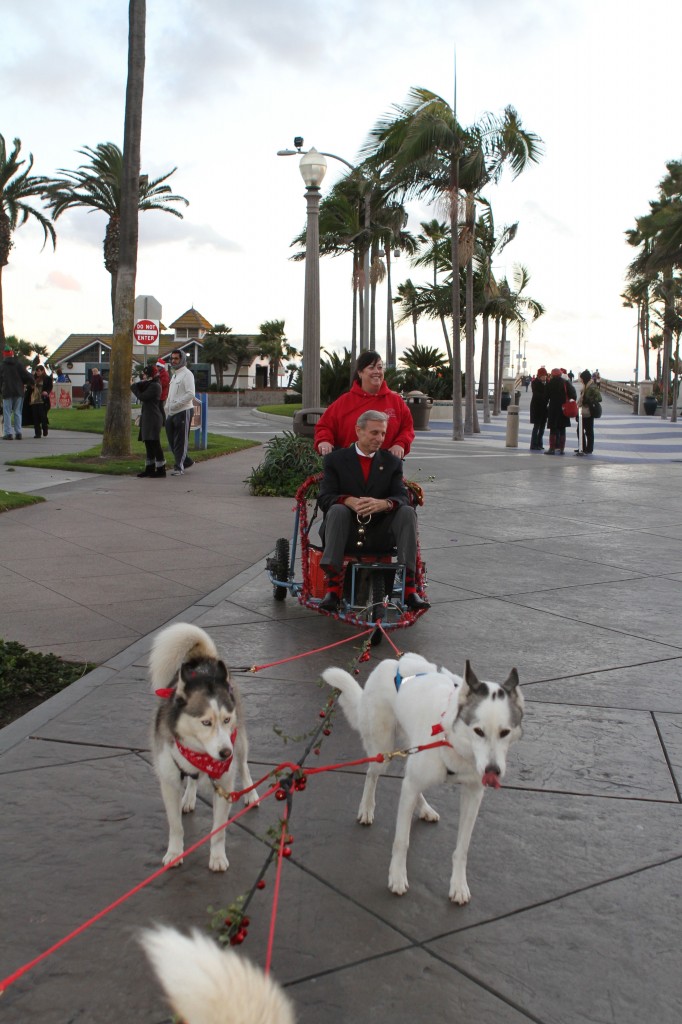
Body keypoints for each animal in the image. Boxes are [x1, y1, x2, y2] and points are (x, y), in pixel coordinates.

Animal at [150, 622, 258, 872]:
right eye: (206, 722)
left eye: (226, 720)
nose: (225, 753)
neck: (199, 754)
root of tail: (204, 662)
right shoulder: (168, 782)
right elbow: (176, 826)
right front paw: (175, 852)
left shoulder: (224, 784)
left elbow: (218, 830)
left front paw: (217, 857)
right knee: (192, 779)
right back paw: (189, 797)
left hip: (240, 743)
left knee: (244, 766)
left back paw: (251, 793)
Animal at [321, 651, 522, 901]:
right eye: (478, 731)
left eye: (505, 732)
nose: (493, 771)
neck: (453, 743)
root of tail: (391, 662)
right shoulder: (413, 783)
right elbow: (402, 841)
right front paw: (397, 877)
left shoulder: (473, 795)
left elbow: (462, 848)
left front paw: (458, 884)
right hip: (383, 752)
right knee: (372, 774)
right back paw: (366, 808)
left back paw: (424, 808)